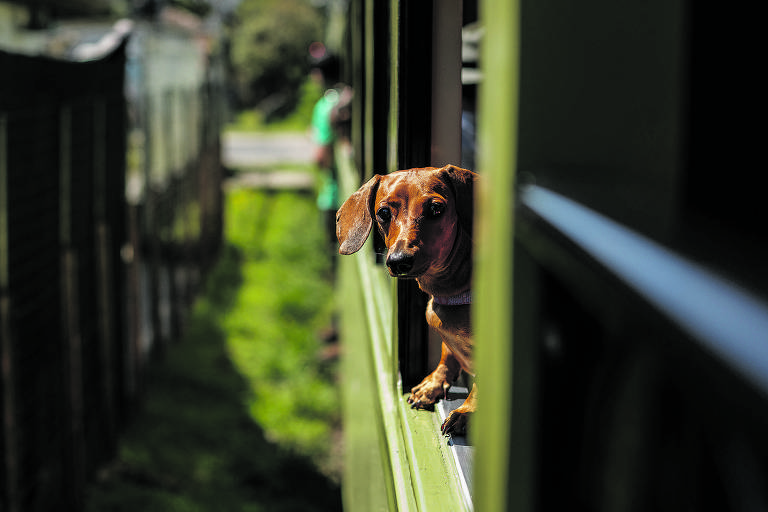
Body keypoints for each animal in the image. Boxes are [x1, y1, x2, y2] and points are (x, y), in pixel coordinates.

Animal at [338, 165, 476, 436]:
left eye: (436, 209)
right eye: (383, 213)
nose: (398, 261)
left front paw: (467, 412)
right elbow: (447, 355)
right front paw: (432, 384)